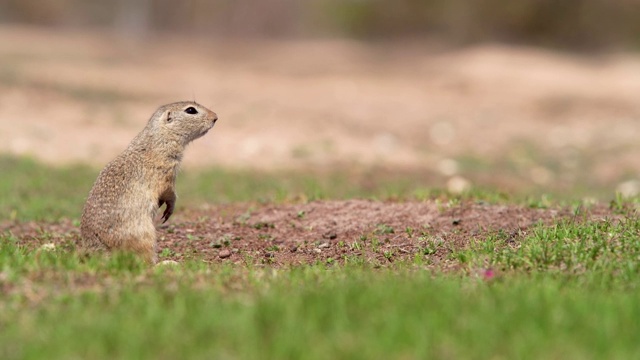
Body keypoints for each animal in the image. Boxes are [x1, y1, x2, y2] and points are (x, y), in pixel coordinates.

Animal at [79, 101, 220, 264]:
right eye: (191, 110)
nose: (215, 117)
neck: (159, 138)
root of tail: (98, 252)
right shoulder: (166, 172)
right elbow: (170, 192)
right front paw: (169, 209)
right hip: (145, 236)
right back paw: (166, 263)